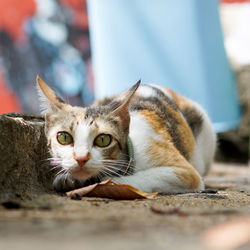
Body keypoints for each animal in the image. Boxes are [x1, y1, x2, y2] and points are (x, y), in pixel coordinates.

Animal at [36, 77, 216, 194]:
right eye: (64, 137)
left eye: (103, 140)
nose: (81, 158)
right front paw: (66, 179)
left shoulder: (186, 173)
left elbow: (120, 181)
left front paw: (96, 182)